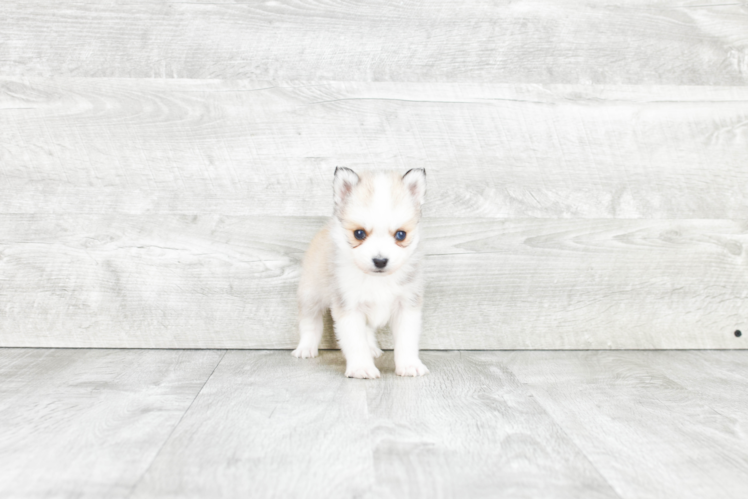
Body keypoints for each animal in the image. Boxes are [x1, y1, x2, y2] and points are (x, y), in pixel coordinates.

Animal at [294, 168, 430, 378]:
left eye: (401, 235)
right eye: (359, 234)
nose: (380, 261)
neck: (377, 280)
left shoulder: (407, 305)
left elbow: (406, 341)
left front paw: (409, 365)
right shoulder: (349, 307)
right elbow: (355, 342)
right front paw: (361, 368)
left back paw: (372, 348)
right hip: (310, 295)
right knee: (310, 323)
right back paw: (306, 348)